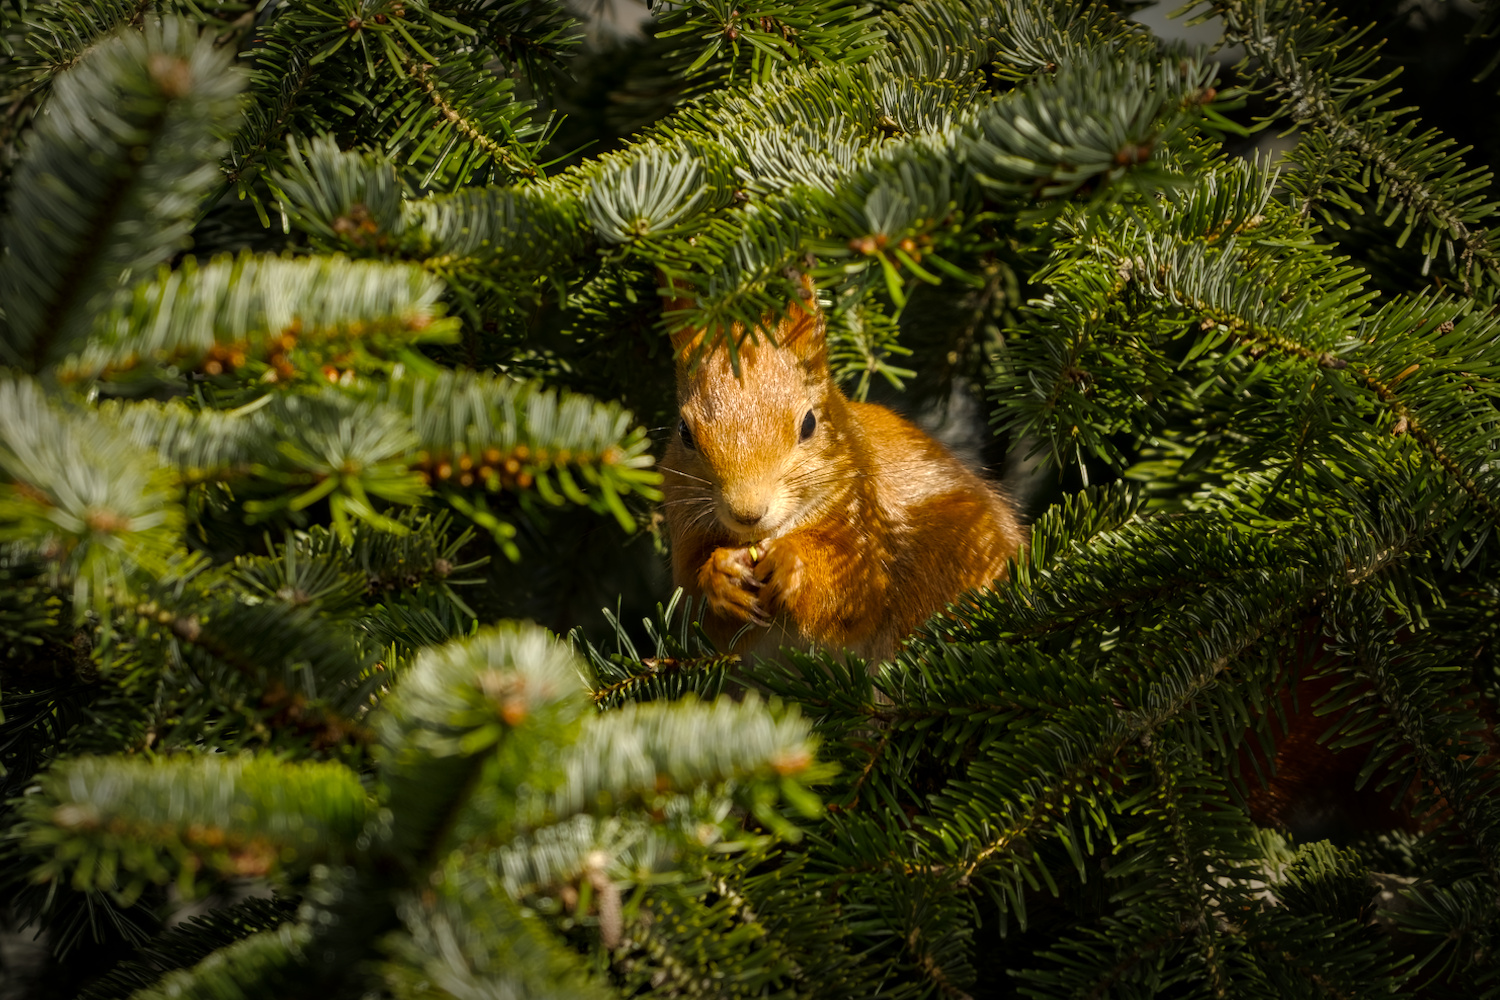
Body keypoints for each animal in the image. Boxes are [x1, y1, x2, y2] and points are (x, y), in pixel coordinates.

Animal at [659, 284, 1026, 665]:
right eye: (684, 432)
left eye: (809, 424)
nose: (747, 512)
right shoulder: (686, 529)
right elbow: (703, 615)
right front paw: (721, 575)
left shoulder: (866, 518)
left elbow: (856, 593)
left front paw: (793, 564)